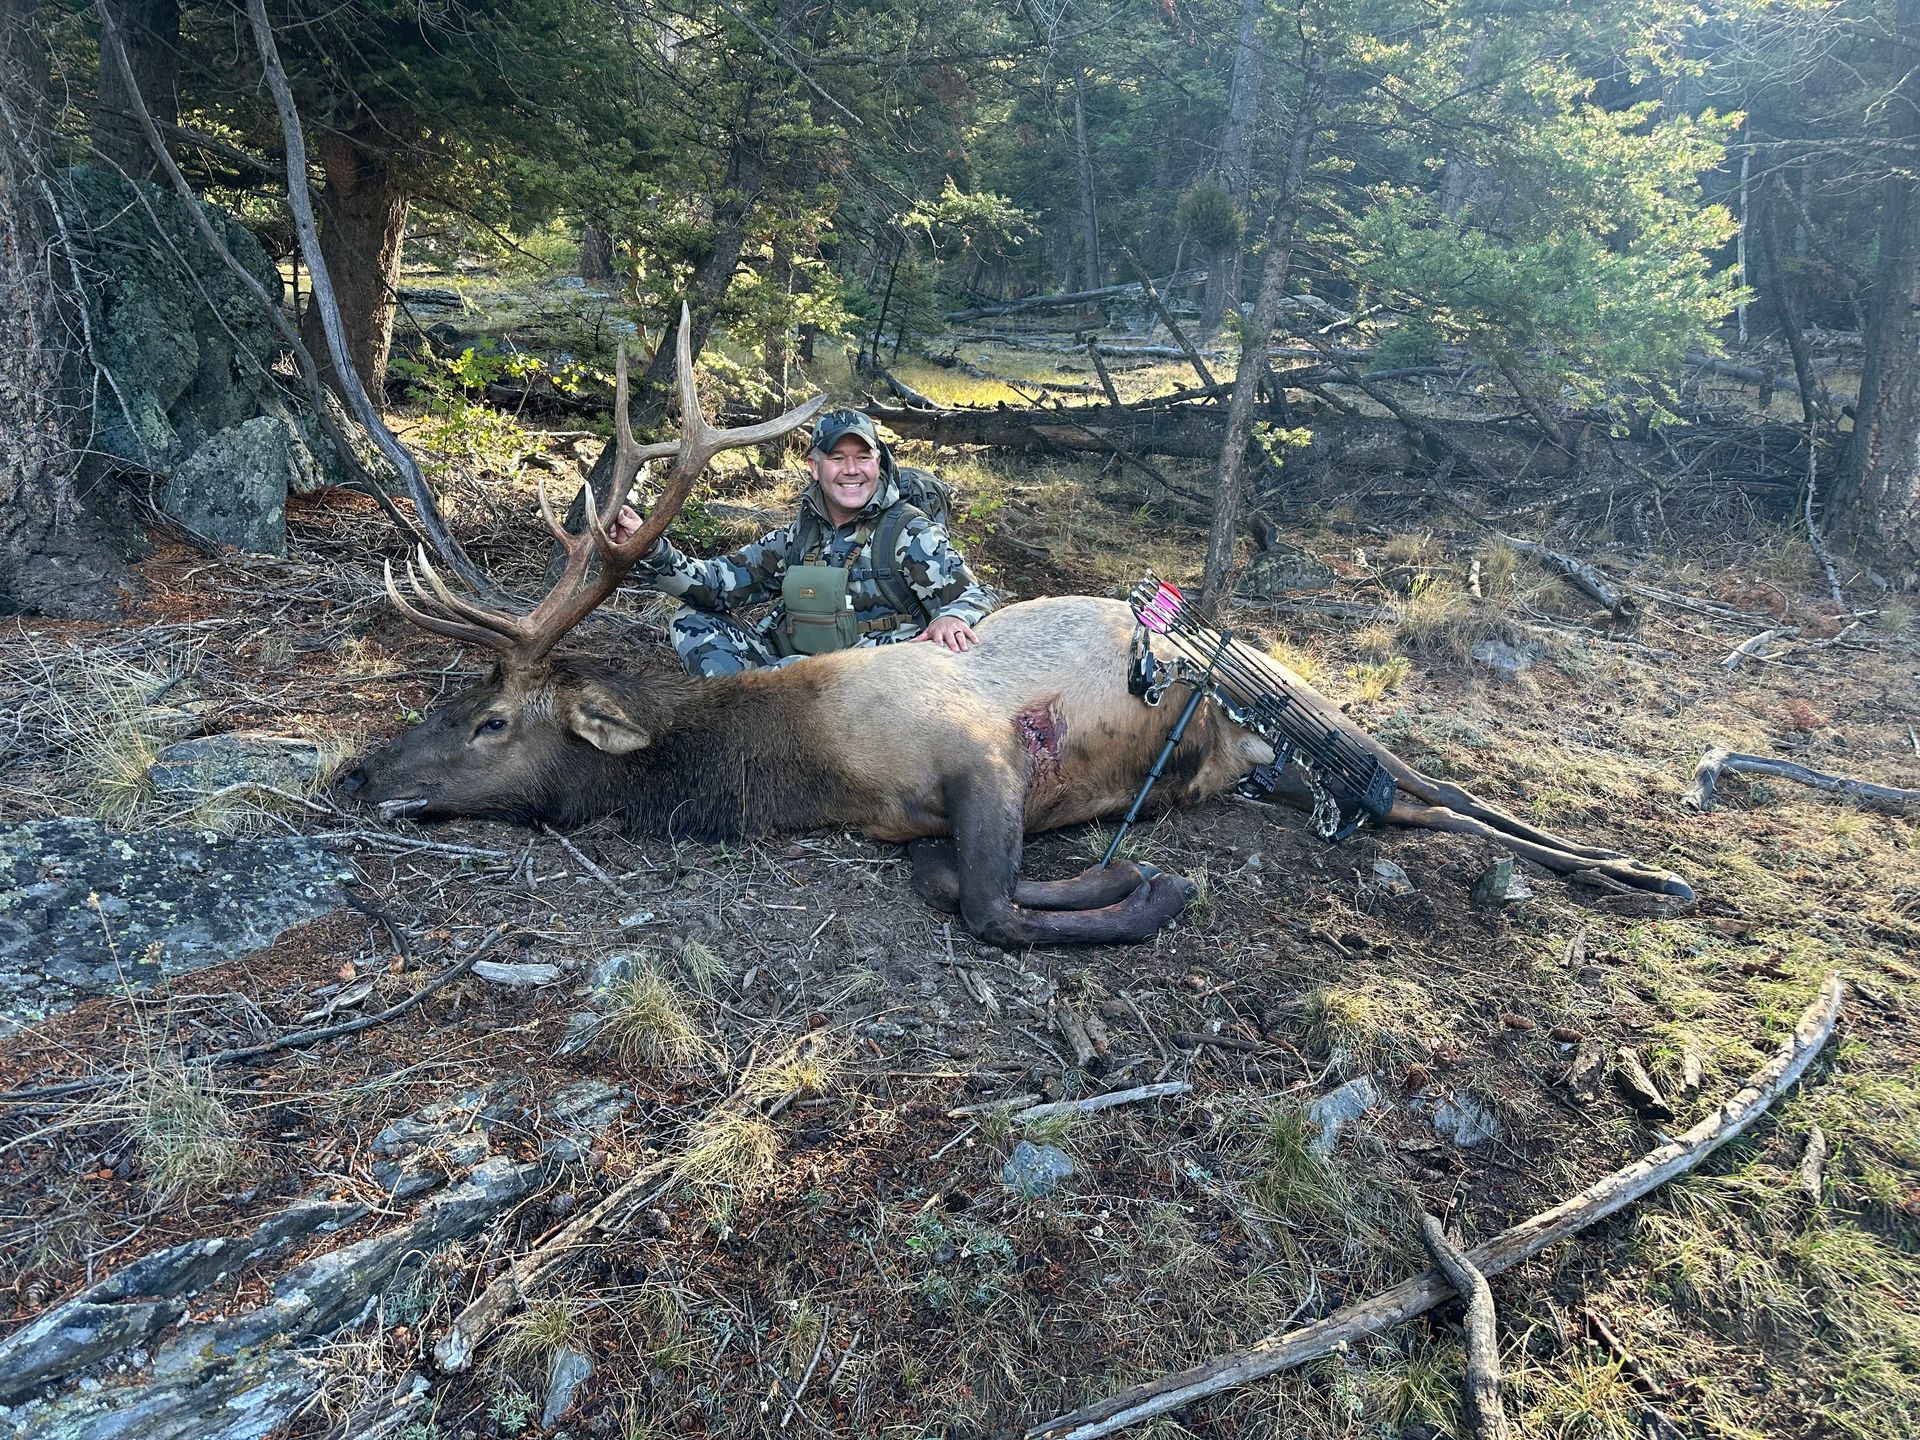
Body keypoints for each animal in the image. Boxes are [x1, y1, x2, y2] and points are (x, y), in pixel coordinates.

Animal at [342, 316, 1692, 946]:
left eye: (490, 717)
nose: (357, 772)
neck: (799, 770)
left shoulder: (981, 752)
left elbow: (988, 906)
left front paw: (1146, 888)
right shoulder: (923, 812)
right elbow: (952, 881)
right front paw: (1118, 869)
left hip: (1324, 708)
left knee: (1454, 791)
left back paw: (1643, 872)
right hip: (1271, 770)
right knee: (1416, 809)